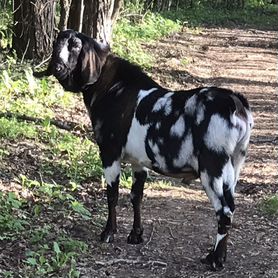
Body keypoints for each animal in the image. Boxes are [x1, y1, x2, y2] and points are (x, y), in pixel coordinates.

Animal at [33, 29, 253, 270]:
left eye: (75, 46)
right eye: (57, 42)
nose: (57, 67)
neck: (114, 87)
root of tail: (236, 104)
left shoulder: (109, 153)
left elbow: (112, 194)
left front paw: (108, 233)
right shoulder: (139, 162)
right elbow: (136, 196)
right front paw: (135, 235)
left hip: (212, 168)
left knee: (224, 211)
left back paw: (215, 260)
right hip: (233, 167)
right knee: (231, 206)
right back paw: (215, 255)